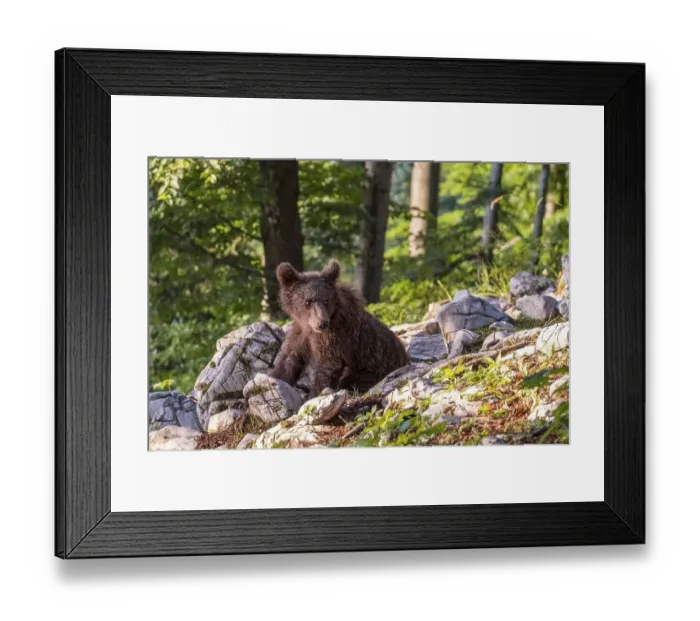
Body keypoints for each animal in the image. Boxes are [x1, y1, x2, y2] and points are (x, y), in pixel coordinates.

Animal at [269, 259, 410, 397]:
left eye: (326, 301)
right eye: (308, 301)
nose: (322, 323)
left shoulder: (338, 336)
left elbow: (329, 366)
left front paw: (314, 394)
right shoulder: (301, 335)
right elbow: (289, 359)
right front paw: (276, 378)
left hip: (373, 369)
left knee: (349, 379)